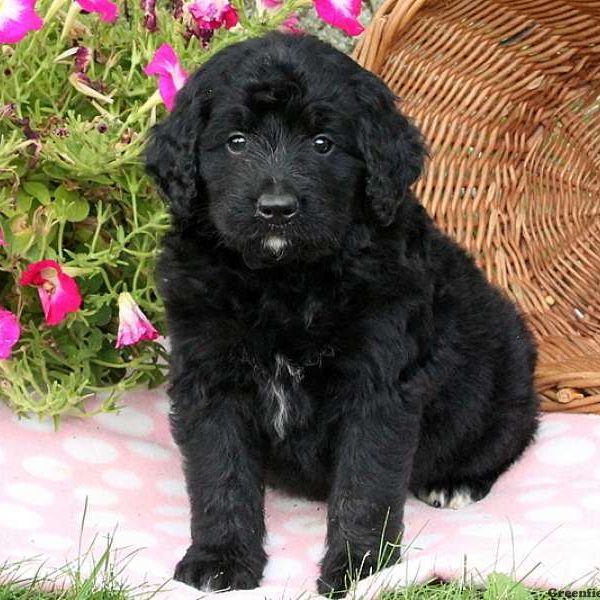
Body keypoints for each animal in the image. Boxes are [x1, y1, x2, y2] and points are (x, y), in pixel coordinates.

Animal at [145, 31, 540, 596]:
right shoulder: (210, 374)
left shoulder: (378, 384)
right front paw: (219, 560)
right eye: (236, 141)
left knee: (510, 438)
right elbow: (221, 474)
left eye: (322, 143)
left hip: (503, 383)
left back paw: (456, 483)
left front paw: (359, 570)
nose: (276, 208)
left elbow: (365, 485)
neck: (284, 279)